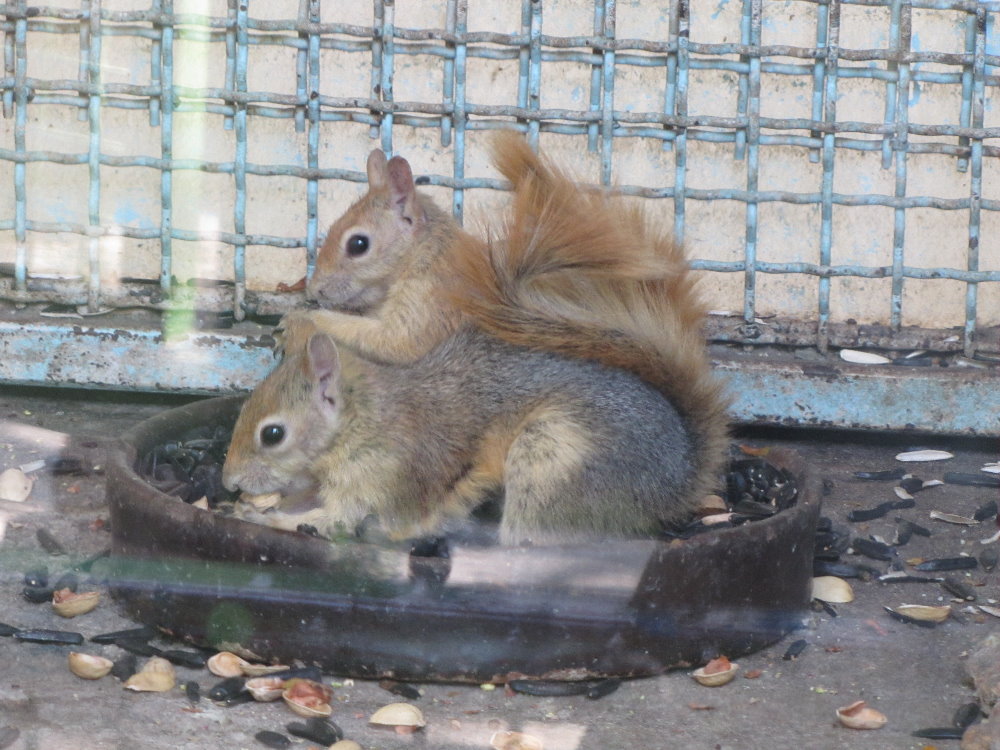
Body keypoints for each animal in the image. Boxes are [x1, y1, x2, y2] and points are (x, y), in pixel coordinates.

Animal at [222, 313, 702, 545]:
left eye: (272, 434)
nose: (229, 483)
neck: (363, 422)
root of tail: (679, 475)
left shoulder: (384, 476)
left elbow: (333, 518)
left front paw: (267, 517)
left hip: (550, 458)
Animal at [295, 131, 729, 512]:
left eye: (358, 244)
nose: (316, 288)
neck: (424, 255)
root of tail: (682, 469)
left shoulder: (431, 305)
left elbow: (395, 343)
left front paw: (305, 317)